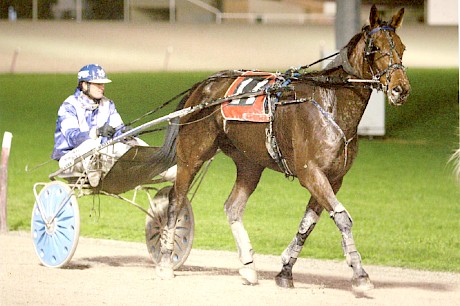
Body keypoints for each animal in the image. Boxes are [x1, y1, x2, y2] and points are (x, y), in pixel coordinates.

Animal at [155, 5, 410, 292]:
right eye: (375, 47)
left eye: (402, 47)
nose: (400, 89)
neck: (330, 103)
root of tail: (201, 87)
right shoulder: (311, 173)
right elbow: (343, 218)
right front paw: (360, 274)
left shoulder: (333, 179)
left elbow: (308, 224)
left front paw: (286, 270)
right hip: (192, 156)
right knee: (176, 200)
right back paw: (165, 263)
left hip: (249, 163)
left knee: (233, 207)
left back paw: (248, 267)